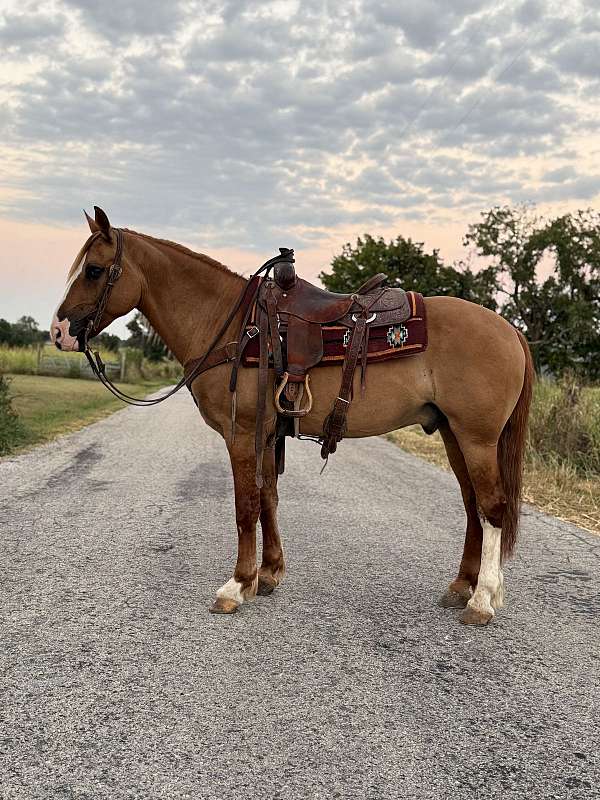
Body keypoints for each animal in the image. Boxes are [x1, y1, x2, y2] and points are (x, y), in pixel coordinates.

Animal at [51, 207, 533, 625]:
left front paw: (235, 585)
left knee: (492, 507)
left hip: (476, 438)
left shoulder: (241, 433)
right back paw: (461, 586)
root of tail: (509, 329)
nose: (58, 333)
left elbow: (245, 505)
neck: (232, 327)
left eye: (94, 270)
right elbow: (268, 499)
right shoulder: (266, 434)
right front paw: (266, 575)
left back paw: (483, 600)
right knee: (472, 506)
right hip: (453, 434)